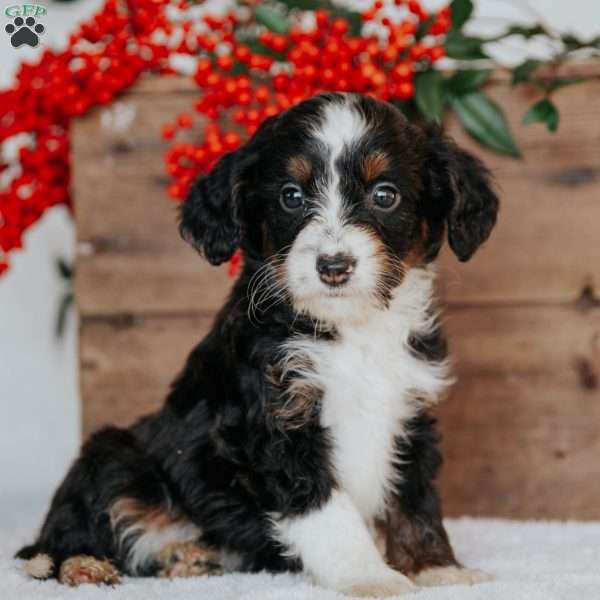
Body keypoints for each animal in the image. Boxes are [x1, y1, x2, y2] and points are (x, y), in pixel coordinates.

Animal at [17, 92, 496, 596]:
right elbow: (327, 508)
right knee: (56, 539)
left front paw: (438, 569)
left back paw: (188, 558)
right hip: (113, 453)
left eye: (385, 195)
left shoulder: (409, 411)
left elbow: (415, 499)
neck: (349, 328)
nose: (333, 266)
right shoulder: (272, 425)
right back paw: (85, 566)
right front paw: (368, 575)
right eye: (291, 196)